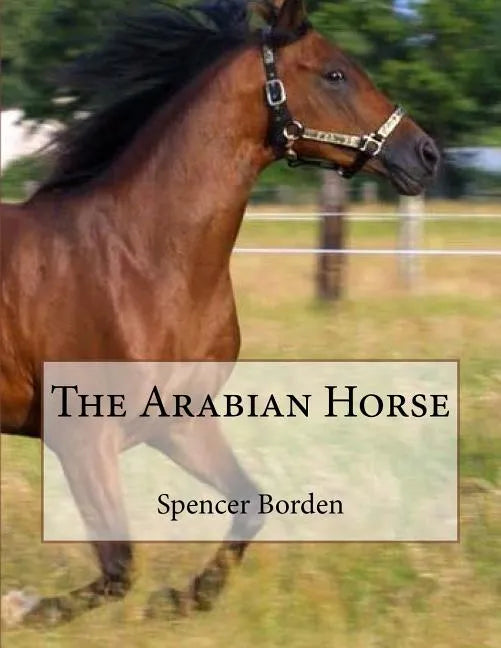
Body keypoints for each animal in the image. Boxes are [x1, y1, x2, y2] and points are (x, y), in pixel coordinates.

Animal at [0, 0, 440, 627]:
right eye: (335, 74)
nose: (426, 155)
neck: (139, 258)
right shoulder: (82, 437)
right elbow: (118, 567)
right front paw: (21, 605)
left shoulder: (180, 424)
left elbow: (252, 503)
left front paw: (180, 600)